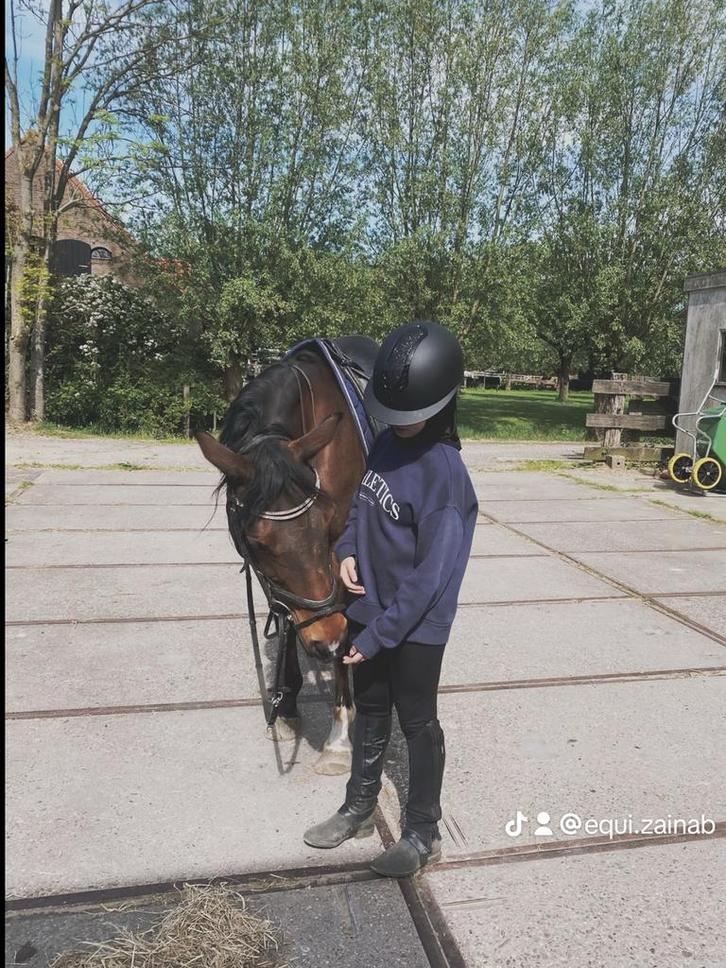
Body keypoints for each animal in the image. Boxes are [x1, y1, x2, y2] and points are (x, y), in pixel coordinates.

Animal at [196, 344, 374, 775]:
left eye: (326, 522)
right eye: (257, 542)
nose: (327, 641)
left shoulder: (340, 550)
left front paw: (339, 738)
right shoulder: (277, 580)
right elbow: (287, 617)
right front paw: (287, 703)